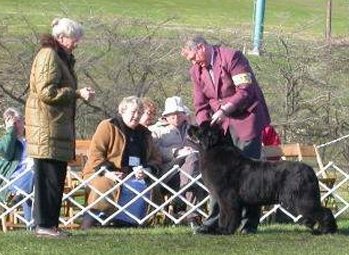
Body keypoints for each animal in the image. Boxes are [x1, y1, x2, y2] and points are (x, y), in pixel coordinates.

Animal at [188, 122, 338, 235]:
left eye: (199, 128)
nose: (190, 126)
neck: (215, 149)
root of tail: (310, 170)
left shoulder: (227, 197)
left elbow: (227, 214)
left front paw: (223, 230)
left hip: (303, 199)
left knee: (324, 212)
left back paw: (326, 230)